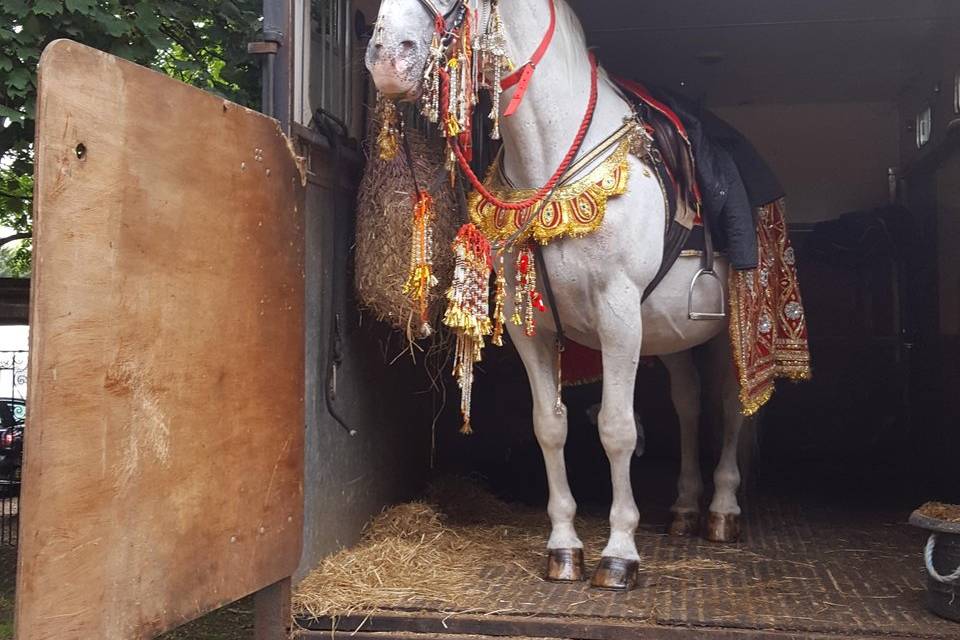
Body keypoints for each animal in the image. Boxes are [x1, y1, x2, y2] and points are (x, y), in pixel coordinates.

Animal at [368, 0, 752, 592]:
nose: (386, 56)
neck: (553, 158)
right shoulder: (530, 327)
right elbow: (550, 428)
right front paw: (564, 548)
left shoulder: (619, 315)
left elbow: (617, 428)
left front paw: (619, 554)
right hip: (671, 336)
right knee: (688, 405)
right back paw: (686, 509)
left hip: (725, 329)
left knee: (731, 406)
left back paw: (722, 512)